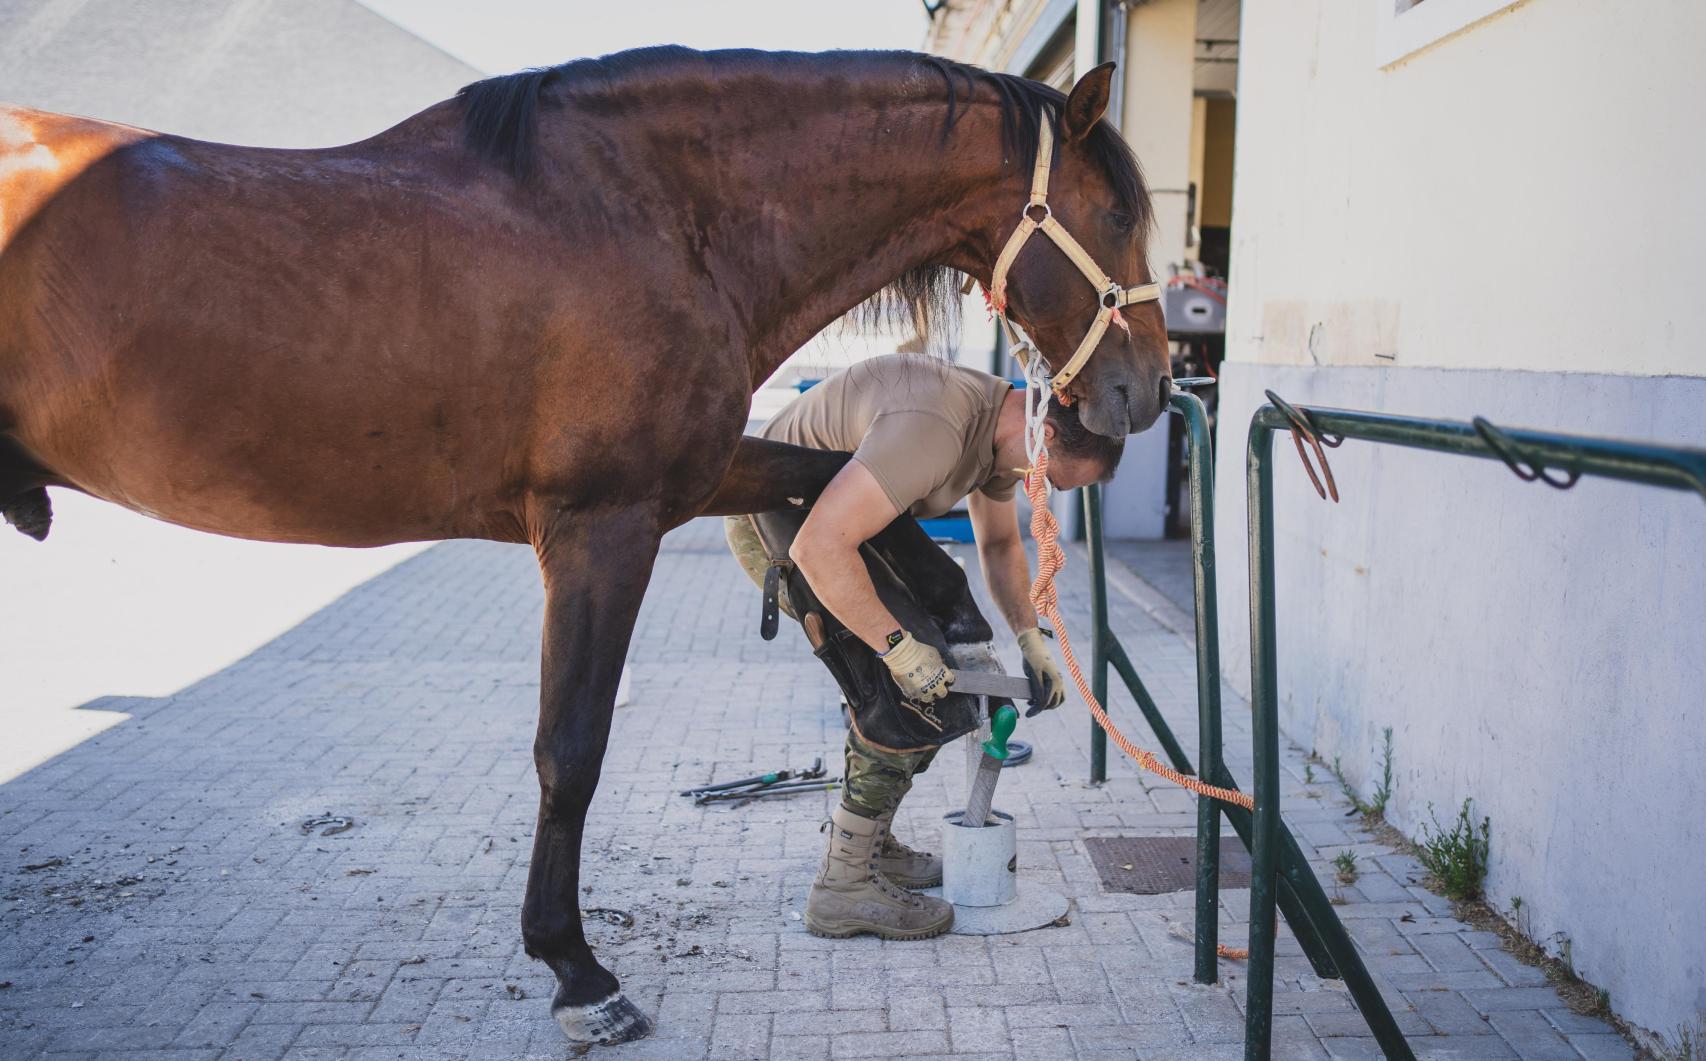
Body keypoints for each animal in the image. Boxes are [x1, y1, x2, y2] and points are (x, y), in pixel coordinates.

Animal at [0, 49, 1166, 1050]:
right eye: (1115, 212)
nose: (1148, 388)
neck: (652, 219)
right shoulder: (600, 526)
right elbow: (572, 749)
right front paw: (577, 971)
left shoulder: (690, 476)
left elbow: (821, 476)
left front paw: (943, 618)